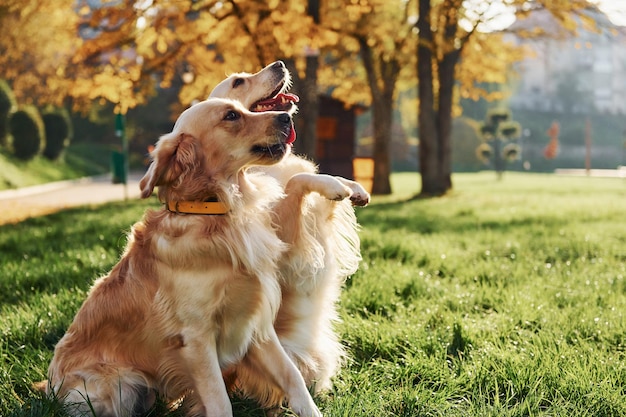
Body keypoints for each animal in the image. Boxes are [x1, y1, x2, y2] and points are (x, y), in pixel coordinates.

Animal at [37, 96, 322, 416]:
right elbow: (220, 401)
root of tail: (48, 387)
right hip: (121, 386)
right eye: (231, 116)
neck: (216, 212)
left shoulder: (255, 325)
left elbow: (292, 376)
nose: (287, 117)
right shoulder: (196, 337)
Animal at [210, 62, 366, 410]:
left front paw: (353, 186)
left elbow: (312, 178)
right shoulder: (288, 248)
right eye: (238, 82)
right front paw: (337, 187)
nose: (280, 64)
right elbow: (298, 182)